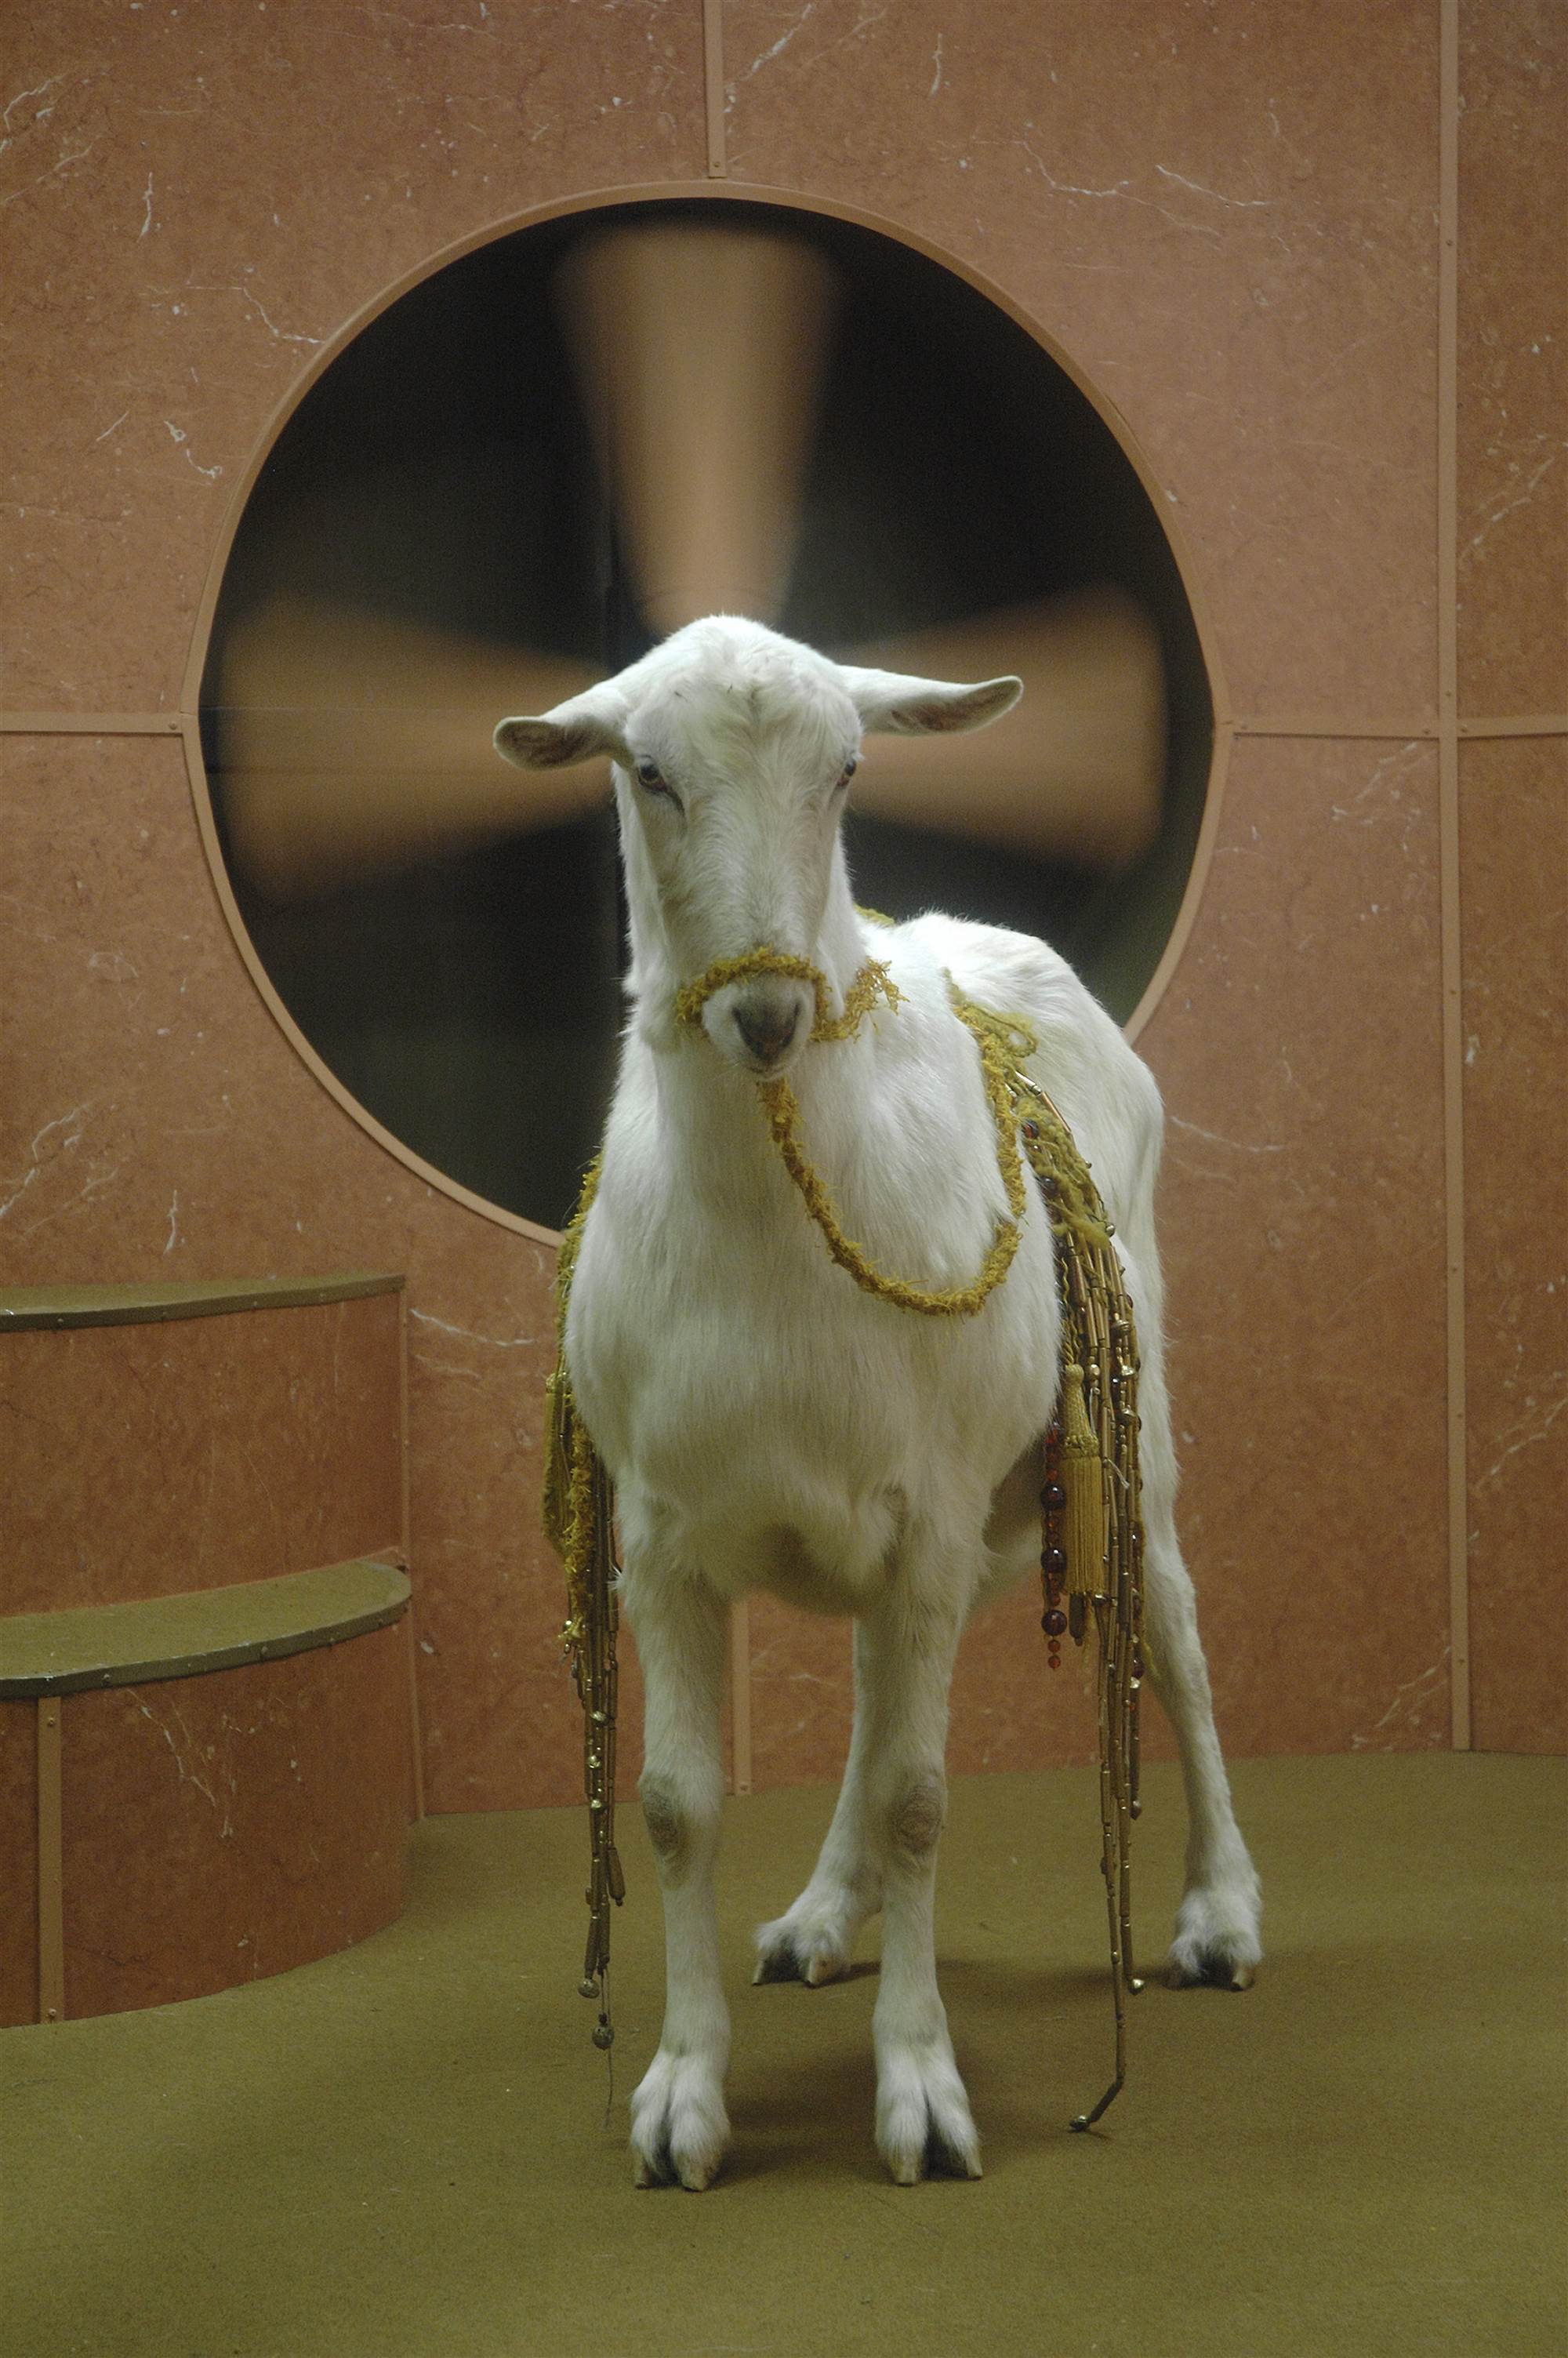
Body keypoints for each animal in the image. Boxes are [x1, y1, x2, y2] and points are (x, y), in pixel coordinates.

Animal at [496, 615, 1262, 2189]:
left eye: (848, 769)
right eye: (647, 770)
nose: (768, 1012)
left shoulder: (926, 1514)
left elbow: (922, 1798)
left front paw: (921, 2093)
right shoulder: (665, 1534)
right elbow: (674, 1806)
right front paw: (680, 2095)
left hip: (1128, 1416)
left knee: (1174, 1623)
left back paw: (1221, 1911)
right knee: (864, 1683)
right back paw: (817, 1915)